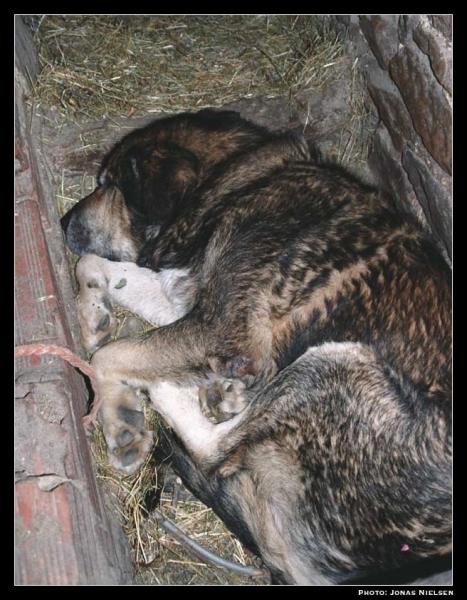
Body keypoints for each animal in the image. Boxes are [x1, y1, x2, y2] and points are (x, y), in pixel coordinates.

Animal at [60, 109, 452, 584]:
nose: (62, 223)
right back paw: (225, 393)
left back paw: (178, 393)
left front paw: (119, 420)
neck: (234, 181)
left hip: (337, 364)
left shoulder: (220, 329)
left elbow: (110, 355)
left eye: (107, 184)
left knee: (213, 453)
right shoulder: (185, 297)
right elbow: (94, 267)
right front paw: (93, 313)